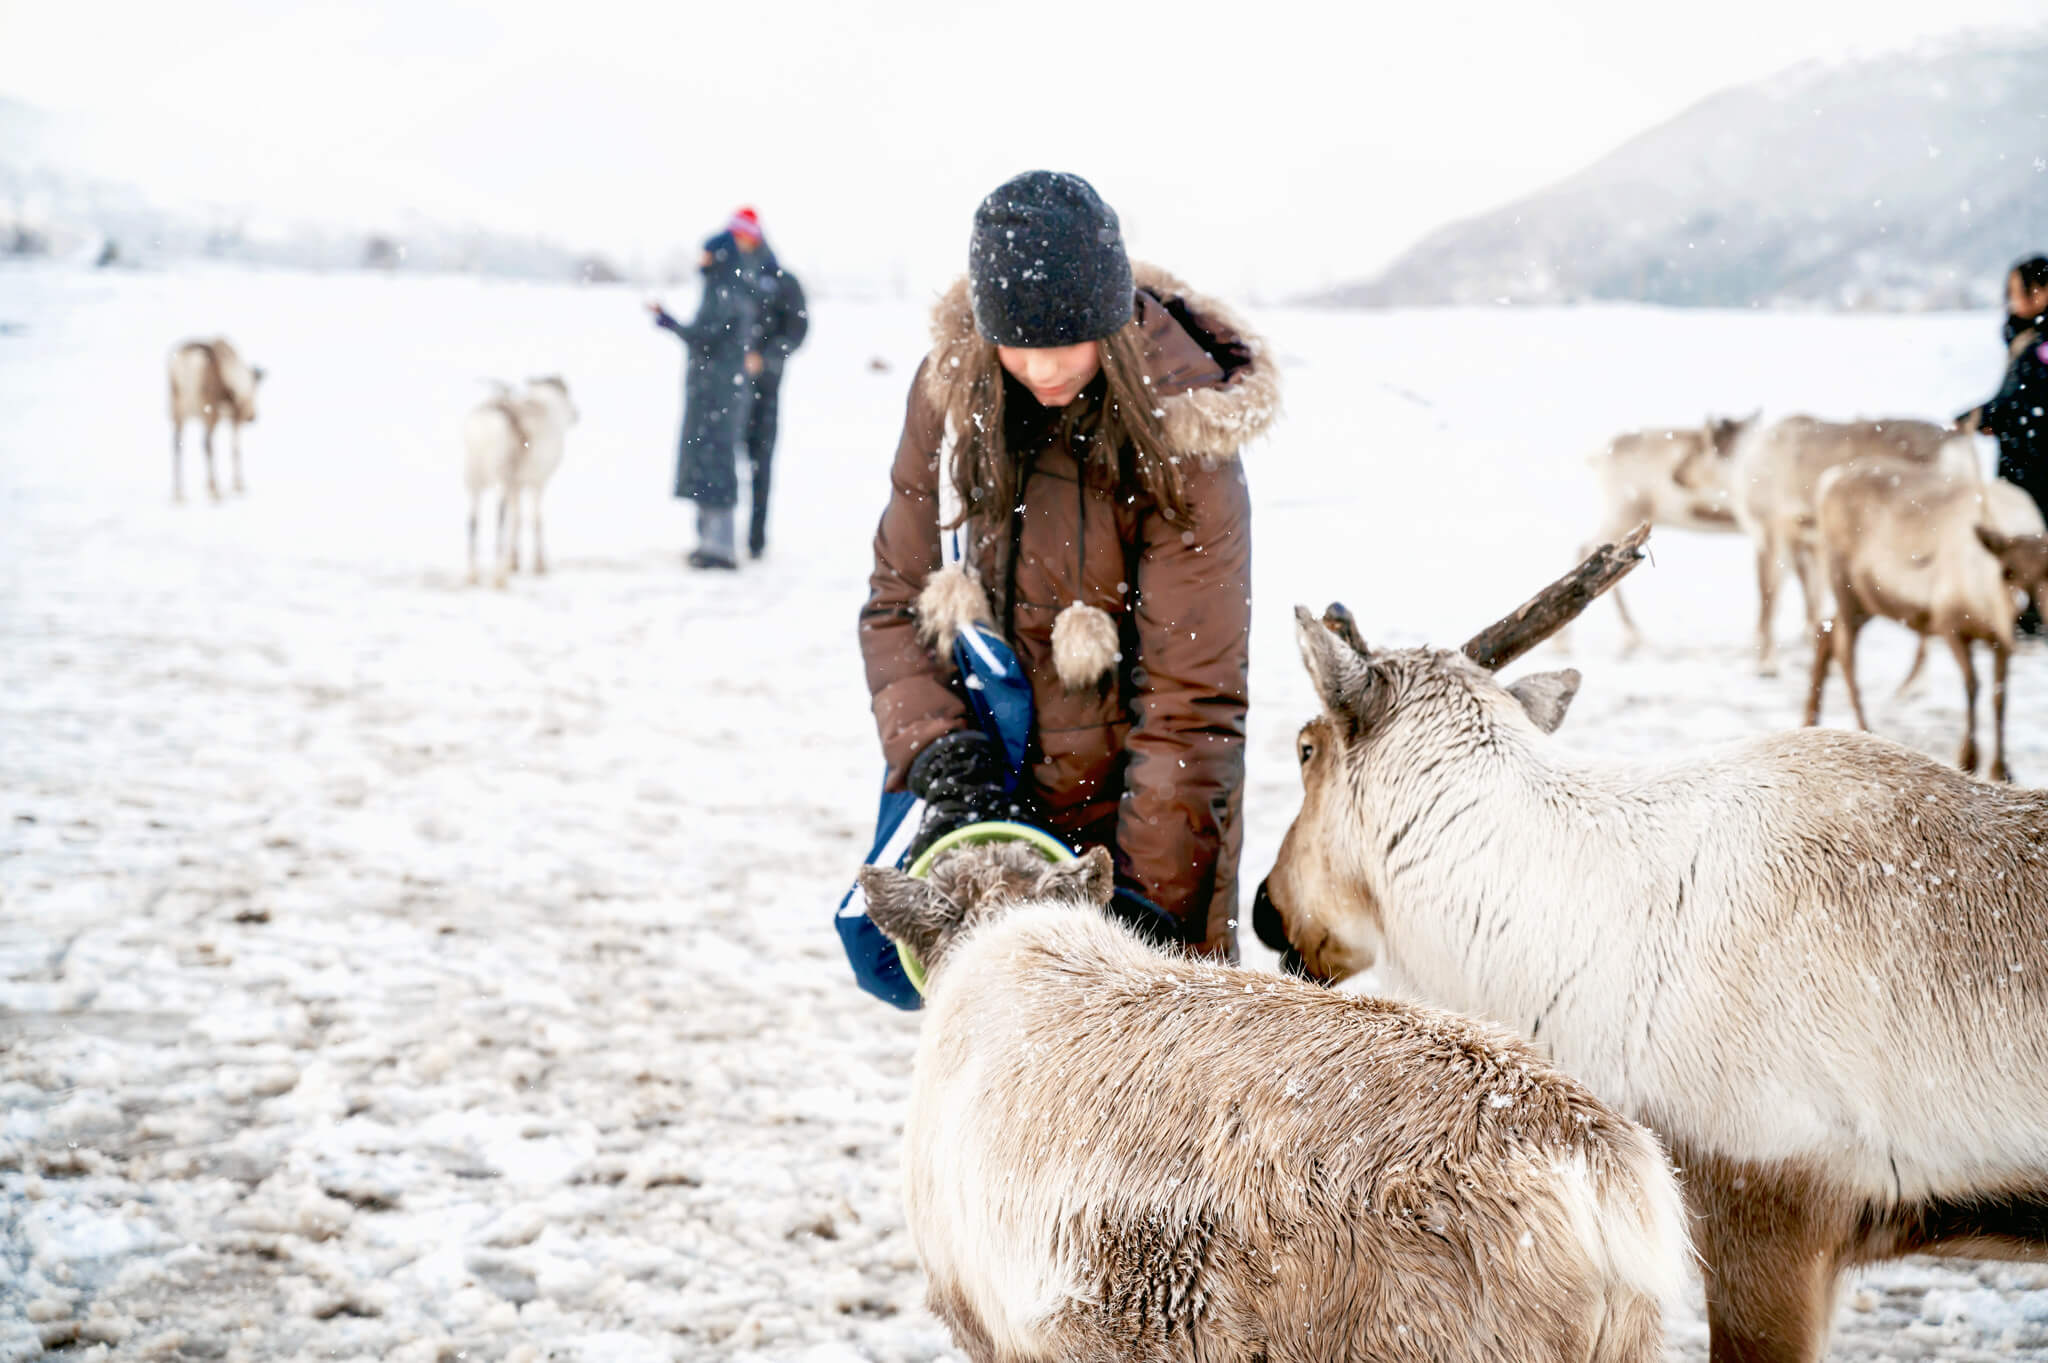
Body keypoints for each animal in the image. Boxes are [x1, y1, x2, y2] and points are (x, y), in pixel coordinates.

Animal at [167, 338, 264, 502]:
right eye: (255, 389)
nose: (252, 417)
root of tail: (187, 361)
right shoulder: (235, 417)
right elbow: (235, 449)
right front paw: (238, 486)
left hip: (177, 410)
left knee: (176, 444)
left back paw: (178, 494)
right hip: (208, 413)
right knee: (206, 443)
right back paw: (215, 490)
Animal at [463, 377, 577, 588]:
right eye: (567, 393)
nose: (576, 414)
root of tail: (483, 427)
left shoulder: (518, 486)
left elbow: (517, 519)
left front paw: (515, 563)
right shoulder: (537, 483)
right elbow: (534, 519)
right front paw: (539, 567)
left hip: (473, 479)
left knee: (472, 521)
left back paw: (472, 576)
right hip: (501, 478)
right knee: (499, 517)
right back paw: (499, 577)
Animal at [1805, 457, 2048, 782]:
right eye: (2007, 570)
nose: (2027, 625)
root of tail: (1829, 479)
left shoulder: (2000, 640)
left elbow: (2000, 697)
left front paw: (2001, 769)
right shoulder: (1950, 624)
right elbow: (1973, 685)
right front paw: (1969, 758)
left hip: (1868, 601)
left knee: (1825, 631)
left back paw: (1810, 719)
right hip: (1843, 586)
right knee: (1845, 653)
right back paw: (1865, 728)